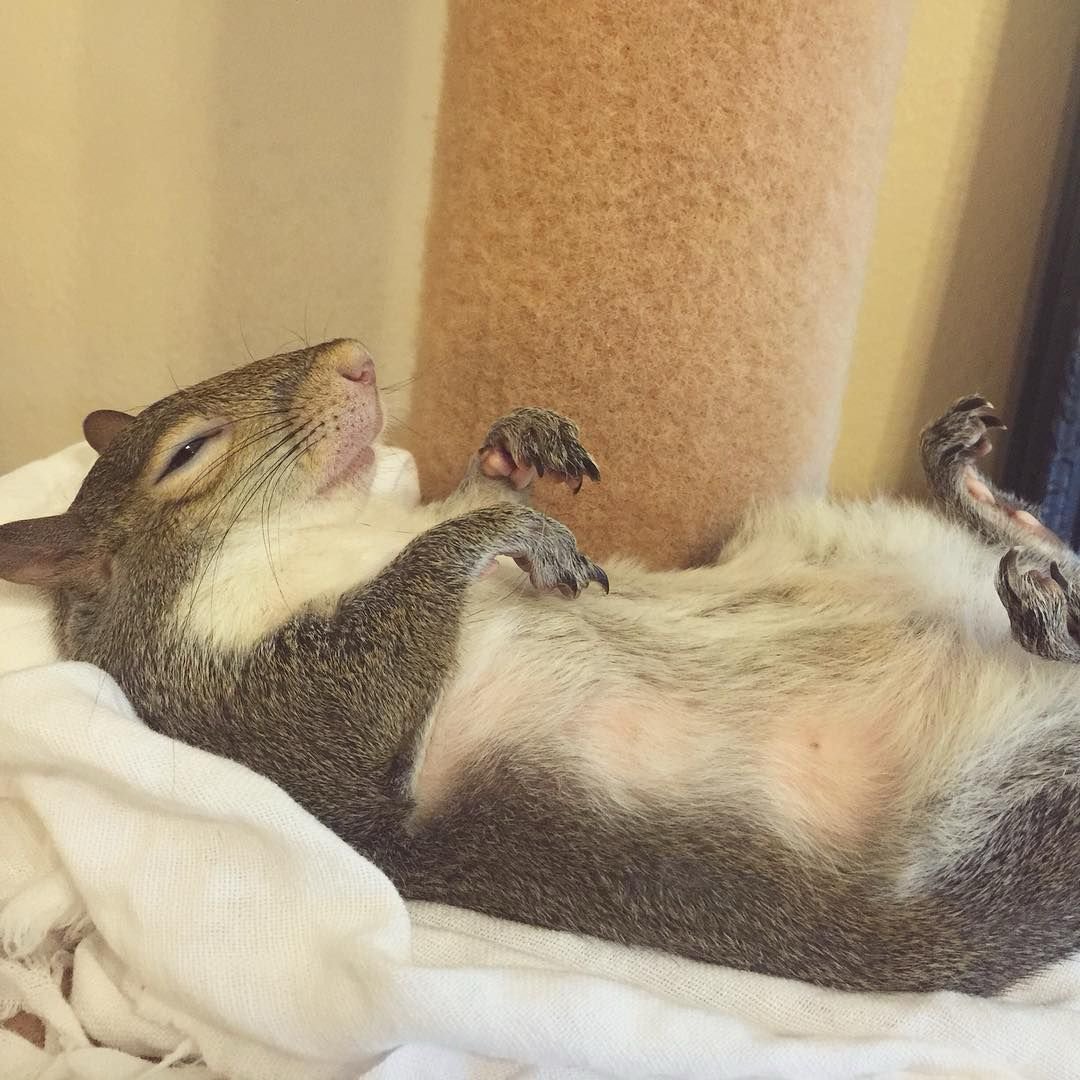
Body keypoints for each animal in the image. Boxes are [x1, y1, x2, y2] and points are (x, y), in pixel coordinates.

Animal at [2, 338, 1079, 996]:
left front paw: (517, 444)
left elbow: (463, 492)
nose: (356, 360)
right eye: (185, 454)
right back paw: (1040, 604)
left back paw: (979, 498)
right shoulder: (262, 729)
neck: (336, 537)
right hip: (1001, 833)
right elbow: (368, 685)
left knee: (1040, 554)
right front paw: (503, 528)